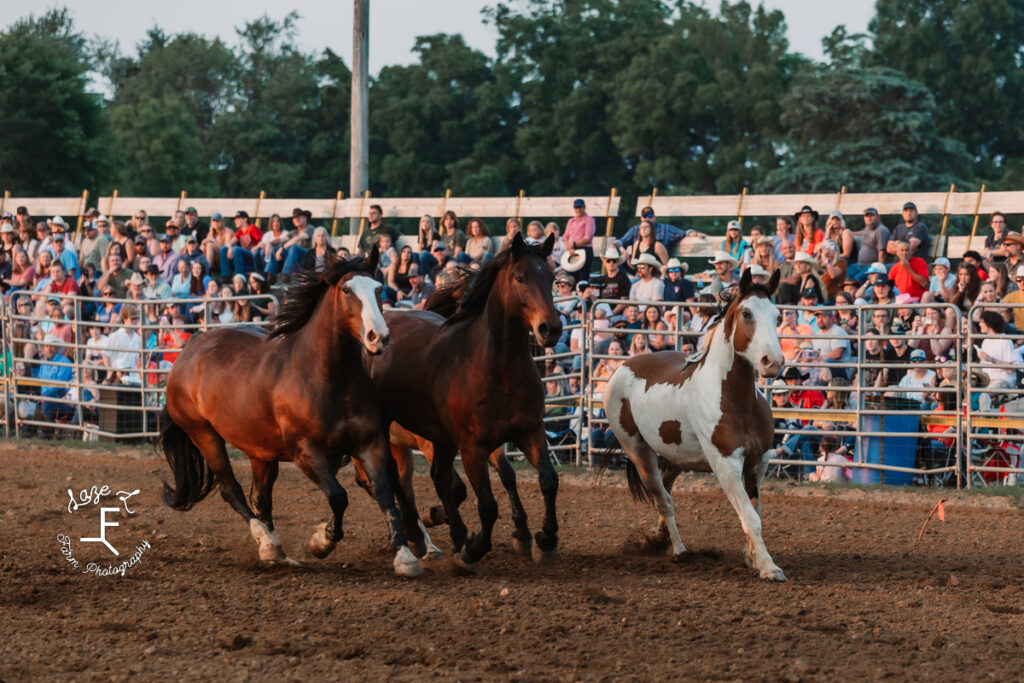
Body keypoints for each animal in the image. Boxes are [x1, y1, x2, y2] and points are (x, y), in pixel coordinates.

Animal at [154, 250, 423, 577]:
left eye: (379, 289)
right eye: (347, 290)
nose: (378, 337)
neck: (329, 379)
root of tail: (187, 353)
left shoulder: (370, 444)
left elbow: (385, 493)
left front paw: (405, 556)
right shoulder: (305, 451)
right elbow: (338, 496)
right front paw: (322, 542)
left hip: (260, 451)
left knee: (260, 498)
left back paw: (275, 551)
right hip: (204, 434)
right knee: (231, 490)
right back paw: (268, 542)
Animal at [366, 235, 561, 573]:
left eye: (550, 278)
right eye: (520, 277)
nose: (551, 329)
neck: (496, 369)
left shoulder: (530, 431)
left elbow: (547, 481)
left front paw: (545, 540)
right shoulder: (472, 447)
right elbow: (487, 504)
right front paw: (474, 549)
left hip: (441, 439)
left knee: (439, 479)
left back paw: (452, 535)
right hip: (394, 434)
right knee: (397, 478)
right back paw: (420, 536)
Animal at [602, 270, 786, 581]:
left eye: (778, 315)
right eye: (747, 313)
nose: (772, 361)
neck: (737, 400)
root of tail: (625, 366)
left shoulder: (758, 463)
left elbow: (756, 512)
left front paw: (752, 557)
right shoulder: (726, 465)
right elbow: (750, 517)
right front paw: (769, 567)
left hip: (675, 457)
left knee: (665, 490)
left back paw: (659, 537)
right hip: (639, 453)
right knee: (663, 499)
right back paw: (678, 550)